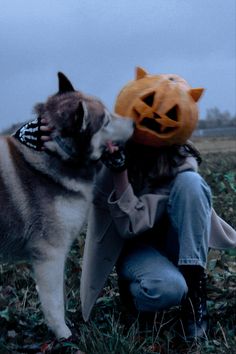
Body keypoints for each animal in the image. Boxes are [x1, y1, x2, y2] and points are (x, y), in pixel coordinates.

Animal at [0, 73, 134, 338]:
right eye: (106, 121)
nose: (135, 122)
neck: (56, 152)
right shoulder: (49, 252)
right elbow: (53, 302)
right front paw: (64, 335)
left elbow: (57, 295)